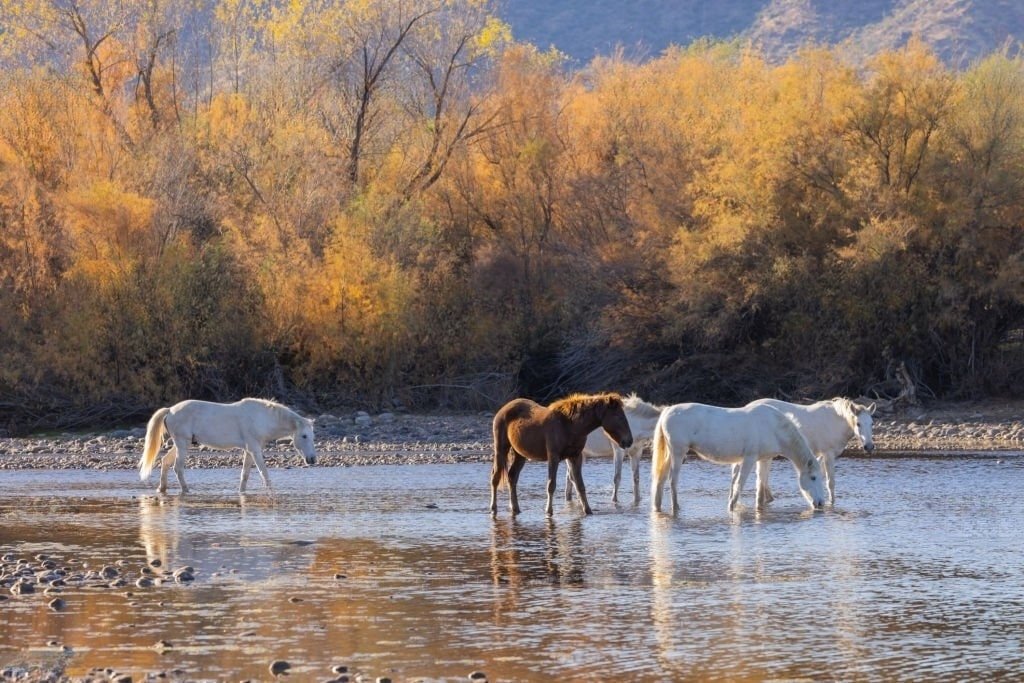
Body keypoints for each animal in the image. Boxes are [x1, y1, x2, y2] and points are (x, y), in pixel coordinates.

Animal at [138, 397, 315, 493]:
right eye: (304, 436)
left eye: (312, 436)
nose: (312, 459)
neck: (262, 418)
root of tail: (170, 410)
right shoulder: (255, 450)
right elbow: (264, 473)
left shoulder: (249, 450)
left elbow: (245, 475)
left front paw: (241, 493)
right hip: (182, 444)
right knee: (177, 468)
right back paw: (186, 490)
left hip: (181, 444)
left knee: (165, 462)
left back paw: (161, 489)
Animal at [489, 393, 630, 516]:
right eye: (619, 416)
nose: (628, 441)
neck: (569, 425)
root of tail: (502, 409)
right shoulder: (553, 456)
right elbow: (551, 485)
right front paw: (548, 511)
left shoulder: (575, 456)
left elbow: (580, 485)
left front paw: (588, 510)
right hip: (501, 449)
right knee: (495, 477)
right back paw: (493, 508)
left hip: (520, 454)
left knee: (512, 477)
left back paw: (516, 508)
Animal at [651, 401, 827, 511]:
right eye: (813, 478)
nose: (820, 503)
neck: (773, 427)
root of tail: (667, 410)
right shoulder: (749, 458)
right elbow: (739, 485)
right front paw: (731, 508)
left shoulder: (764, 459)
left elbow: (760, 486)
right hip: (678, 452)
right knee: (672, 481)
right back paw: (676, 508)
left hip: (670, 453)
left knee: (660, 480)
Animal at [737, 397, 880, 505]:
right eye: (858, 424)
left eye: (872, 423)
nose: (869, 446)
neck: (836, 423)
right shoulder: (828, 454)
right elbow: (830, 482)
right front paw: (832, 503)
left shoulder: (820, 456)